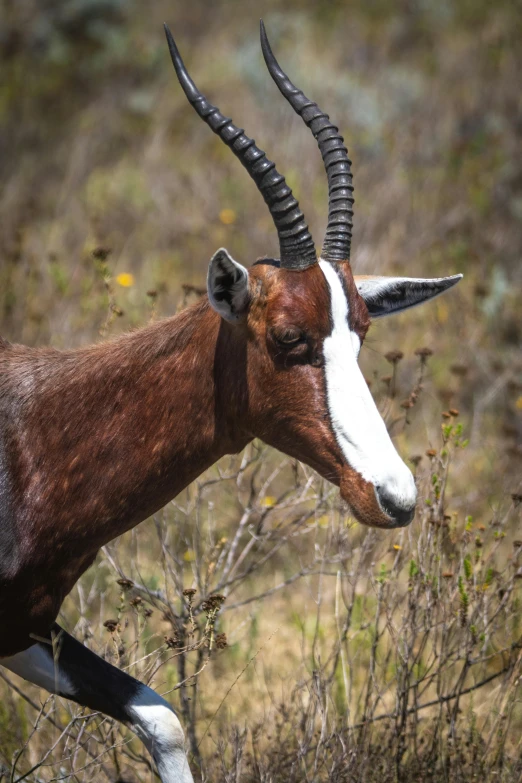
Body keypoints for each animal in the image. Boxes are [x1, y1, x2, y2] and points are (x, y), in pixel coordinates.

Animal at [0, 23, 460, 783]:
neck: (30, 434)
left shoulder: (24, 624)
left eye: (361, 327)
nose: (393, 495)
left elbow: (163, 718)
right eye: (288, 335)